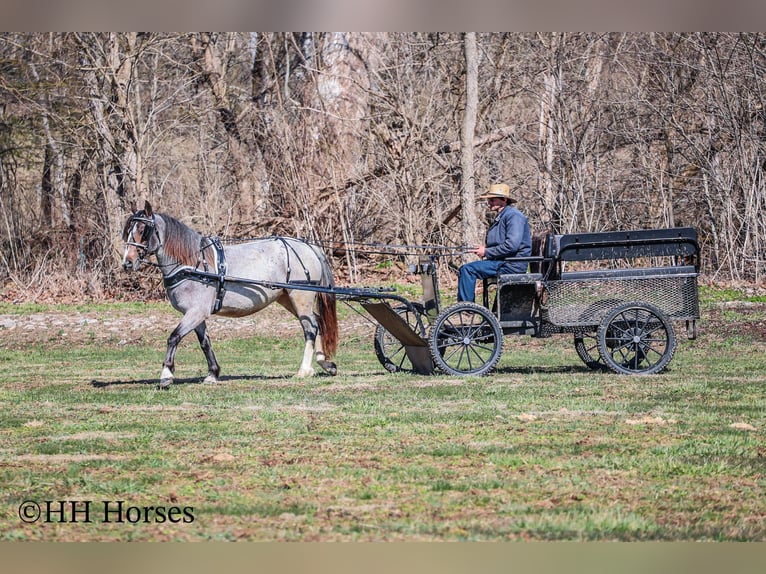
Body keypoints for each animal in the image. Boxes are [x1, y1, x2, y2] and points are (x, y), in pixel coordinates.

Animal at [121, 200, 338, 388]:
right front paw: (213, 373)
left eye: (143, 230)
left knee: (310, 328)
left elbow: (174, 337)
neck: (194, 264)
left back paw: (304, 370)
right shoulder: (195, 314)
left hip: (300, 297)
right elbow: (205, 342)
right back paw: (325, 363)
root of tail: (309, 246)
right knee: (317, 321)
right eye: (129, 231)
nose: (127, 262)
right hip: (287, 298)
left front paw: (166, 375)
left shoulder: (196, 312)